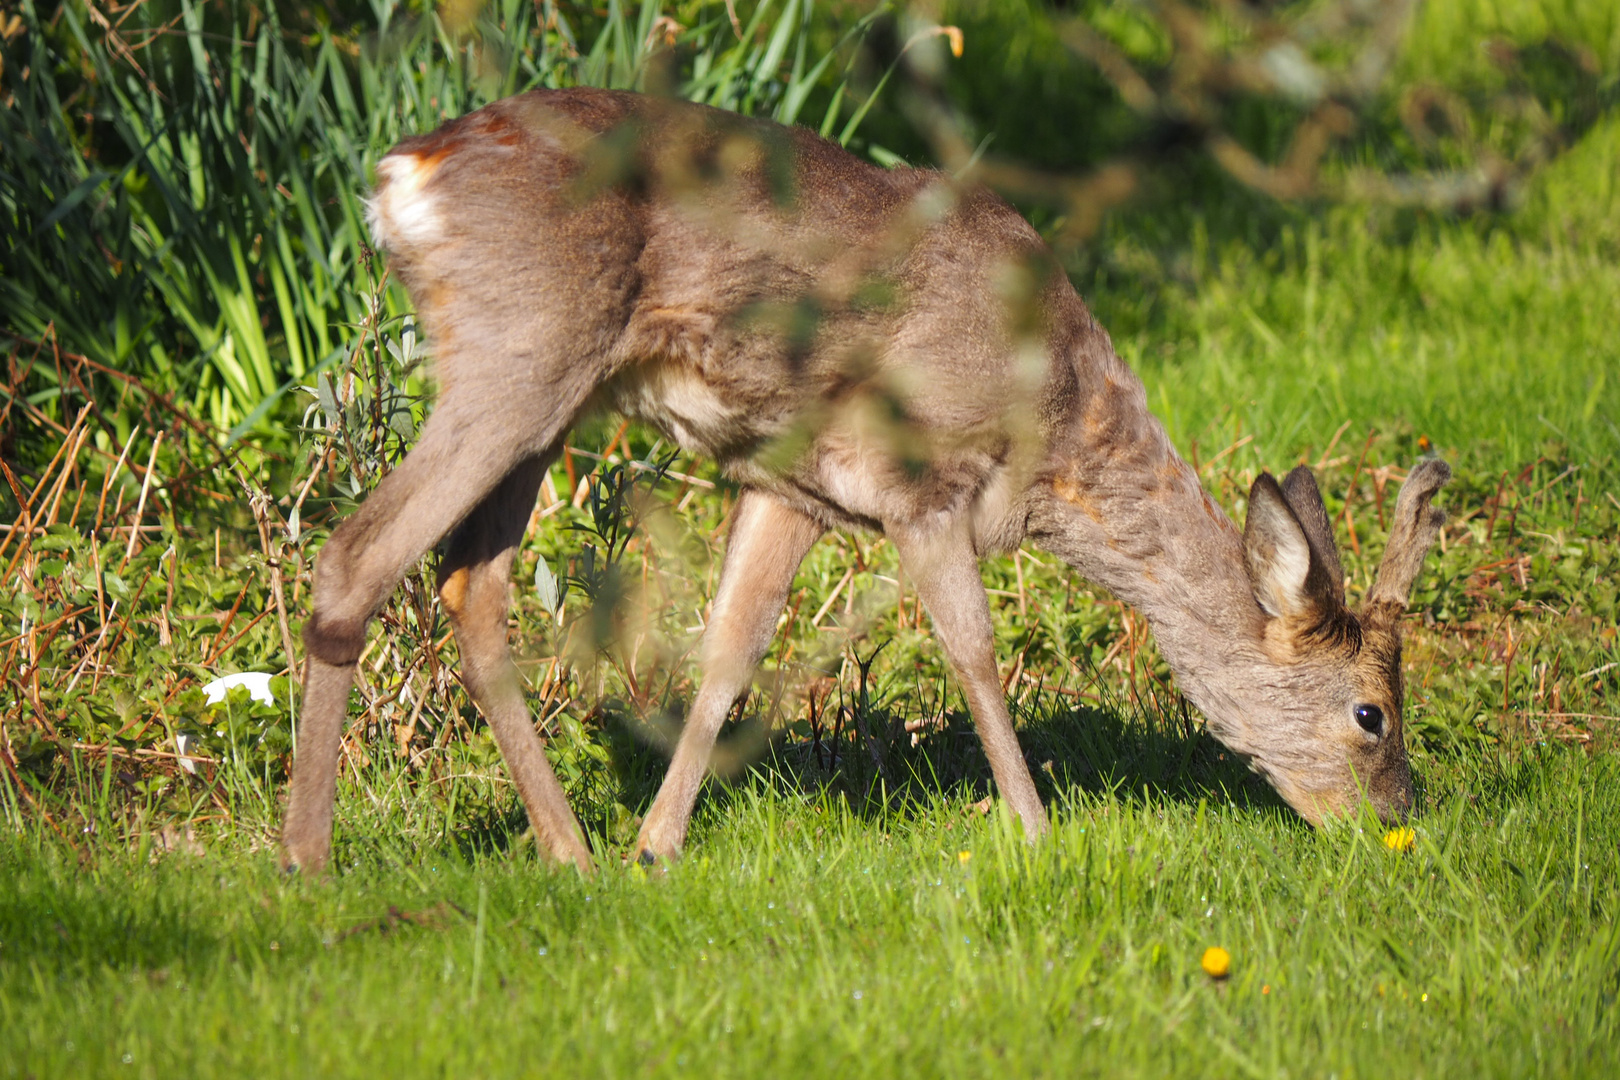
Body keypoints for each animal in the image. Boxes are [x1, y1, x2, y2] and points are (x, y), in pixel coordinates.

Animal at [272, 88, 1451, 874]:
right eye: (1371, 714)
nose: (1400, 820)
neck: (1055, 429)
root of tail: (401, 177)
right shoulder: (922, 480)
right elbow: (973, 650)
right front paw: (1036, 832)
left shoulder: (793, 488)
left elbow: (727, 652)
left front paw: (659, 844)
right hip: (519, 352)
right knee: (356, 554)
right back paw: (307, 863)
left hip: (550, 391)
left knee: (470, 586)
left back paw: (573, 853)